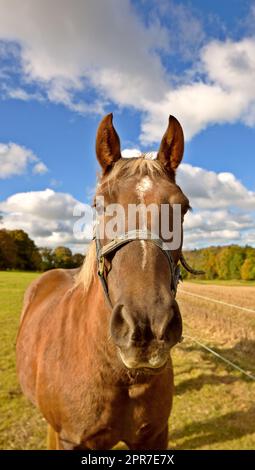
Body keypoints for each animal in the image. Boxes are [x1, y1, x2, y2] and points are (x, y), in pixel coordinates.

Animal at [15, 112, 191, 450]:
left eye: (183, 208)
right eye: (99, 204)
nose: (148, 325)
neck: (117, 375)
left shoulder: (154, 436)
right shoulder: (72, 440)